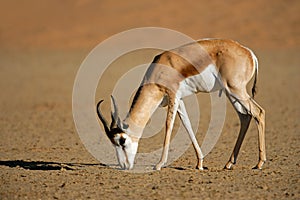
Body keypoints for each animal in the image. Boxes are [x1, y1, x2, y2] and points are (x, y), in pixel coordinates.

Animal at [95, 38, 264, 170]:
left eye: (122, 140)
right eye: (113, 143)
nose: (124, 166)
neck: (160, 68)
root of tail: (249, 53)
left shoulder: (173, 95)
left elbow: (169, 125)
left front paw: (159, 164)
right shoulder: (180, 99)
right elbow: (187, 124)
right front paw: (199, 163)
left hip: (236, 90)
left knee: (258, 112)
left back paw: (259, 163)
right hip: (231, 93)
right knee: (245, 117)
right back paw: (229, 163)